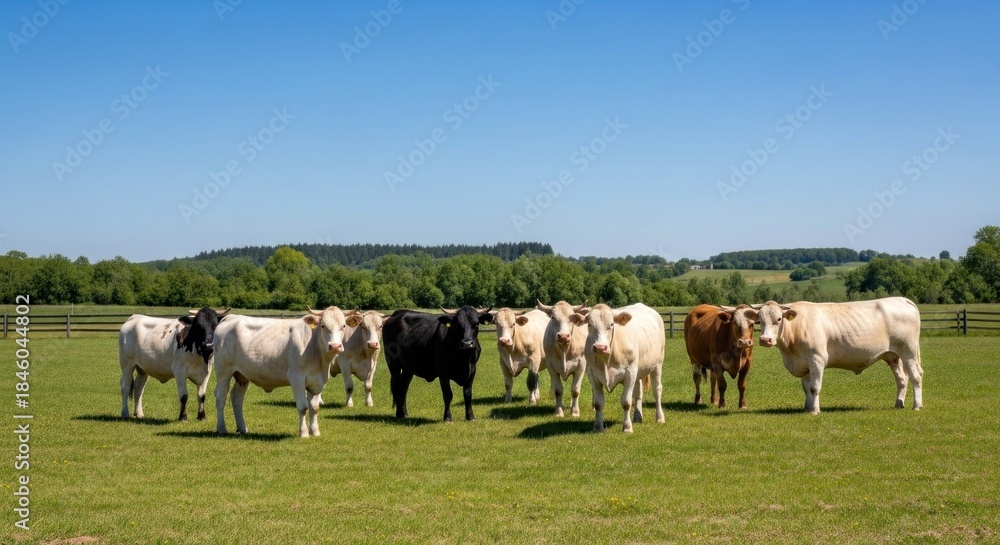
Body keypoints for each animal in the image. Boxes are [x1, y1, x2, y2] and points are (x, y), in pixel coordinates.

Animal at [213, 307, 360, 437]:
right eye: (323, 326)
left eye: (343, 326)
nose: (334, 346)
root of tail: (231, 317)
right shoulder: (297, 379)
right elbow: (303, 407)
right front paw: (303, 433)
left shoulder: (318, 381)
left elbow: (314, 408)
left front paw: (315, 432)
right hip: (223, 371)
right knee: (221, 396)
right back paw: (221, 428)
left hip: (242, 375)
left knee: (237, 397)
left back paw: (243, 428)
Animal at [569, 303, 665, 433]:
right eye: (589, 324)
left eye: (611, 324)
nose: (600, 347)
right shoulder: (592, 374)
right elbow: (598, 403)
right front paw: (598, 427)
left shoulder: (630, 373)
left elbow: (626, 402)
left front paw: (627, 427)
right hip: (639, 370)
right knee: (638, 392)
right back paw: (637, 417)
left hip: (658, 363)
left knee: (657, 390)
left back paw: (660, 417)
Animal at [754, 297, 923, 414]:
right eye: (759, 321)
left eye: (778, 319)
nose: (765, 340)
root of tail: (902, 299)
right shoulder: (804, 363)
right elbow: (806, 388)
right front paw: (807, 408)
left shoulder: (816, 359)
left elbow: (814, 387)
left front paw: (815, 410)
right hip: (893, 356)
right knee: (902, 379)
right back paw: (899, 404)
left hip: (908, 352)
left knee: (916, 377)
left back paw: (917, 405)